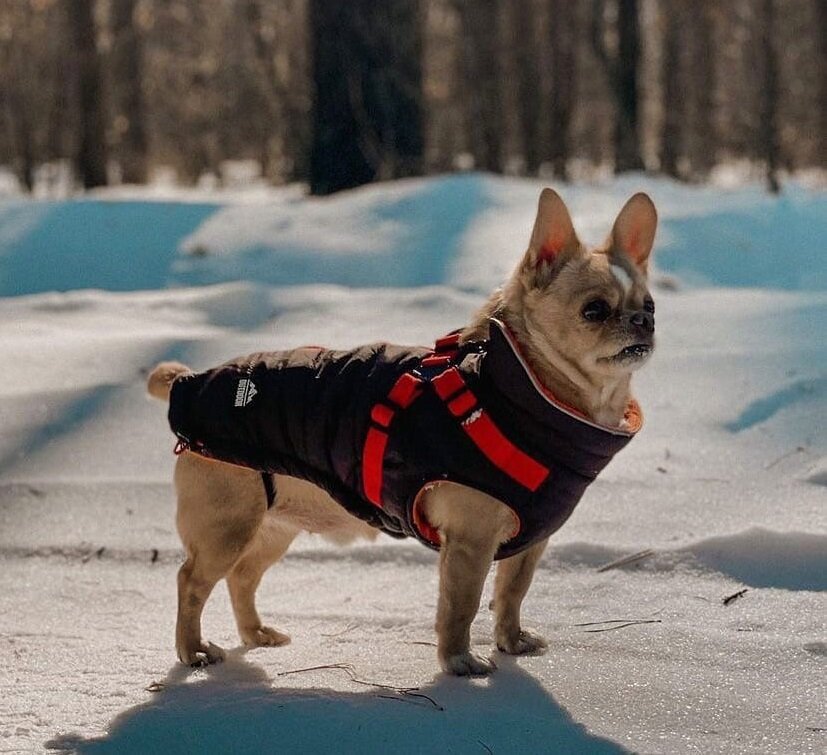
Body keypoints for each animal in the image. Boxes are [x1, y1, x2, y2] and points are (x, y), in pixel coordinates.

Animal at [146, 190, 656, 680]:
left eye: (649, 305)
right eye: (594, 310)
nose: (644, 321)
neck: (516, 385)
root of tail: (188, 381)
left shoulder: (529, 544)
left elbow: (512, 592)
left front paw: (511, 642)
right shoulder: (469, 543)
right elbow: (462, 605)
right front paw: (459, 663)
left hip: (273, 526)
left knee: (243, 577)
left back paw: (256, 635)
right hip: (227, 527)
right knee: (192, 581)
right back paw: (193, 651)